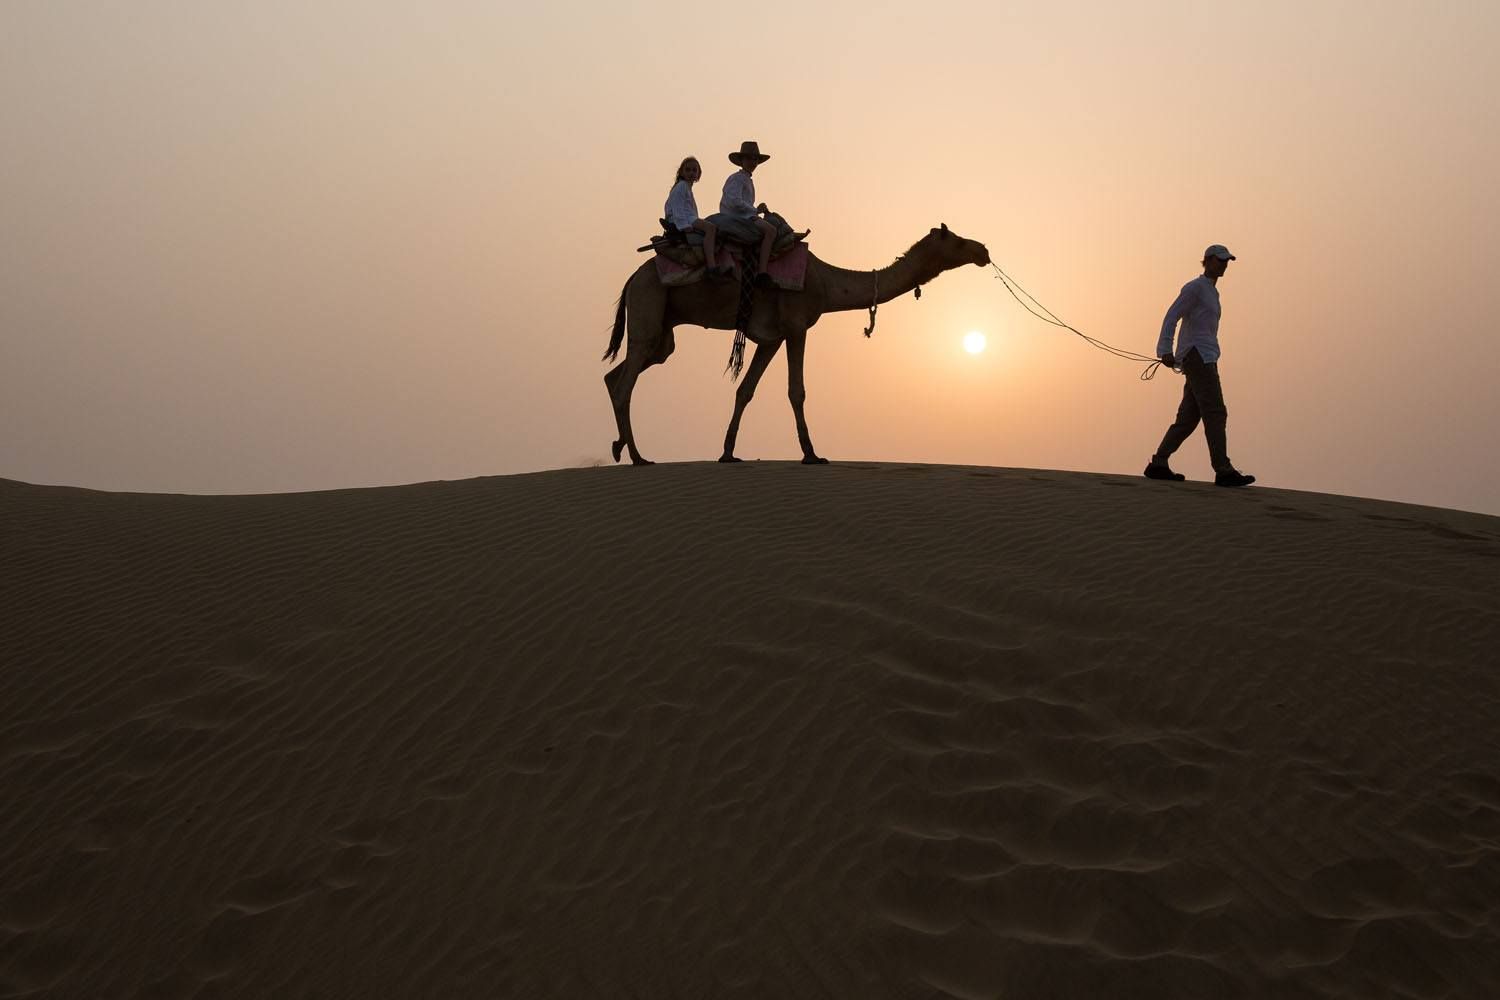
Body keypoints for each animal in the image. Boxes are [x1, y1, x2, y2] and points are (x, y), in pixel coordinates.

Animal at [603, 223, 990, 464]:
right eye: (956, 239)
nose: (983, 250)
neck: (827, 282)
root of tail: (631, 278)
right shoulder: (797, 324)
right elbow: (796, 390)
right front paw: (811, 455)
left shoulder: (771, 337)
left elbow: (745, 390)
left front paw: (728, 453)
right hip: (649, 303)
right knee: (625, 382)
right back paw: (638, 457)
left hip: (661, 331)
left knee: (619, 373)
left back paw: (620, 447)